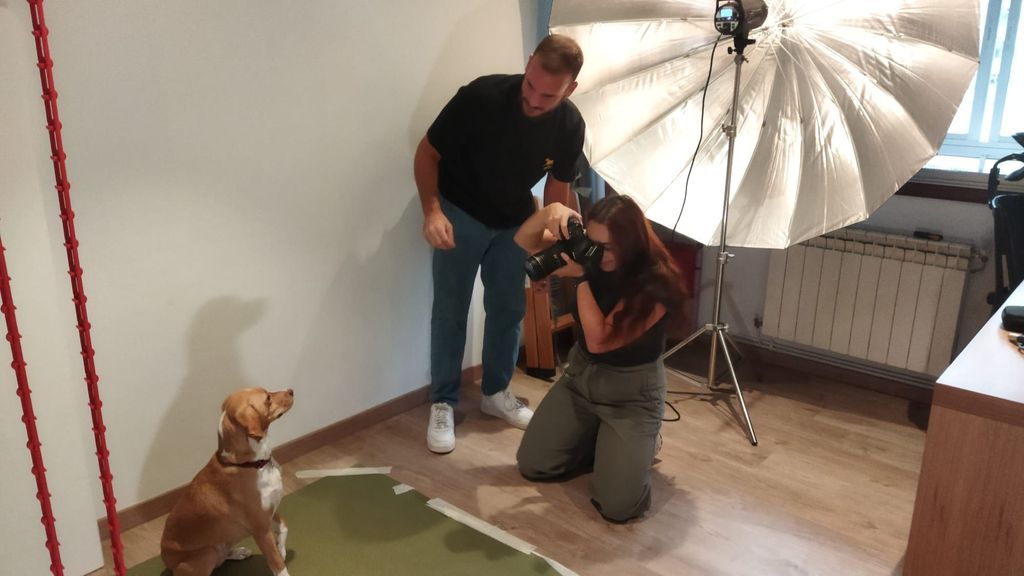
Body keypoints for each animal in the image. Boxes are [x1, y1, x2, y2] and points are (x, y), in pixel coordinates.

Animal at [161, 385, 294, 573]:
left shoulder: (271, 511)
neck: (253, 464)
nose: (291, 391)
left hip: (223, 543)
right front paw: (279, 557)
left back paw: (238, 552)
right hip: (206, 554)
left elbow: (284, 528)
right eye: (267, 398)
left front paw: (281, 548)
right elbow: (278, 566)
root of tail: (166, 561)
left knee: (222, 556)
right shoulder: (260, 530)